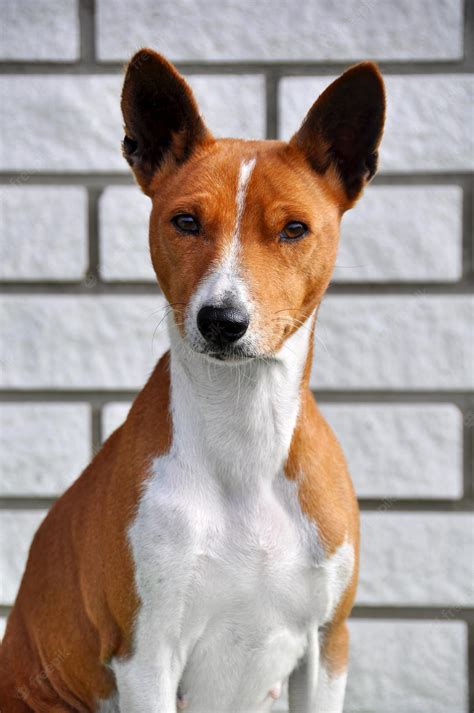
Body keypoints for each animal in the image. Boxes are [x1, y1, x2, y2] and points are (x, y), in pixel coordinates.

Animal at [0, 50, 386, 712]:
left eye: (294, 230)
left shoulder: (328, 643)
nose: (222, 320)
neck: (244, 439)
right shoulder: (146, 653)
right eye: (184, 221)